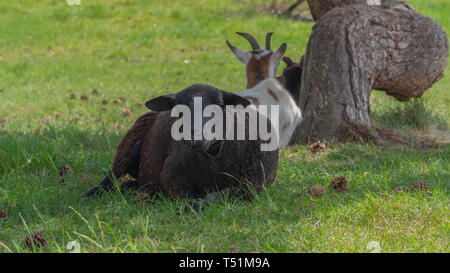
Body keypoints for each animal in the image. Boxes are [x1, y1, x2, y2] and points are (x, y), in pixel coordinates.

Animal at [85, 84, 278, 209]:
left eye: (218, 104)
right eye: (179, 108)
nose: (193, 135)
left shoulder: (252, 184)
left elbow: (215, 197)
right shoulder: (171, 174)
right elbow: (189, 199)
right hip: (127, 148)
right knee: (111, 179)